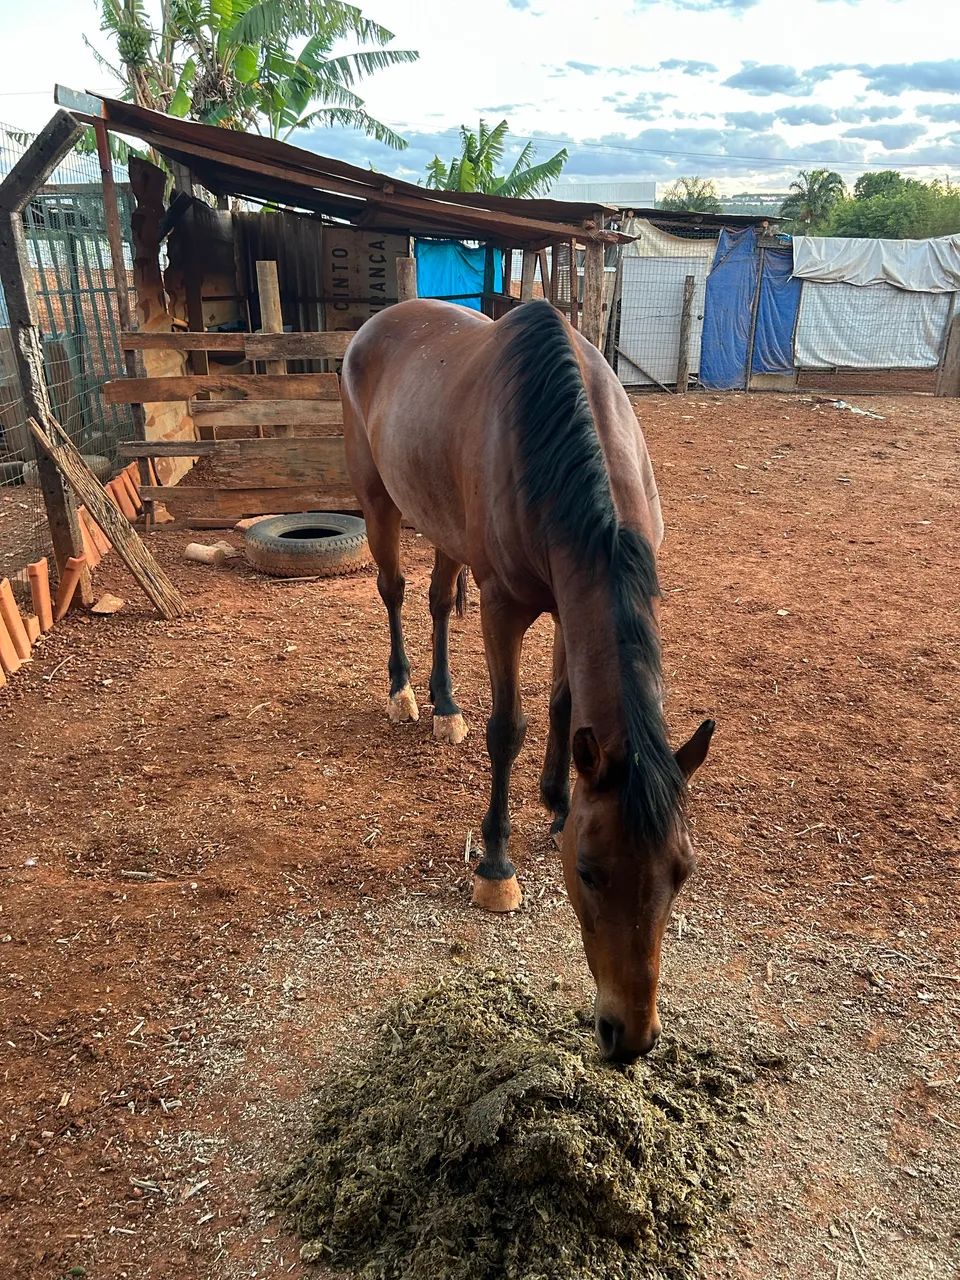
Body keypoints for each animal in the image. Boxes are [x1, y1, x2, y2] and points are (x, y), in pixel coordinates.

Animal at [341, 297, 714, 1062]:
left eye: (681, 872)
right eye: (590, 871)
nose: (629, 1036)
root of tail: (375, 325)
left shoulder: (573, 600)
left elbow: (567, 706)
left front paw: (557, 802)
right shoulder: (504, 606)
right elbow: (508, 727)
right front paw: (495, 865)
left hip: (445, 527)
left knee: (434, 599)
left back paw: (445, 705)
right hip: (380, 500)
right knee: (394, 591)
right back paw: (404, 692)